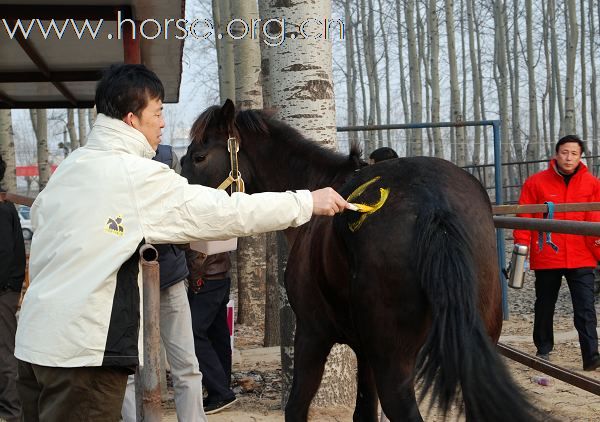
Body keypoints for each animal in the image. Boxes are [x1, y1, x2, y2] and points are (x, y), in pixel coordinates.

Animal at [182, 100, 540, 420]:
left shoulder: (313, 335)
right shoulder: (366, 352)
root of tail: (432, 201)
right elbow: (364, 413)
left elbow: (297, 407)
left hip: (393, 365)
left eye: (199, 156)